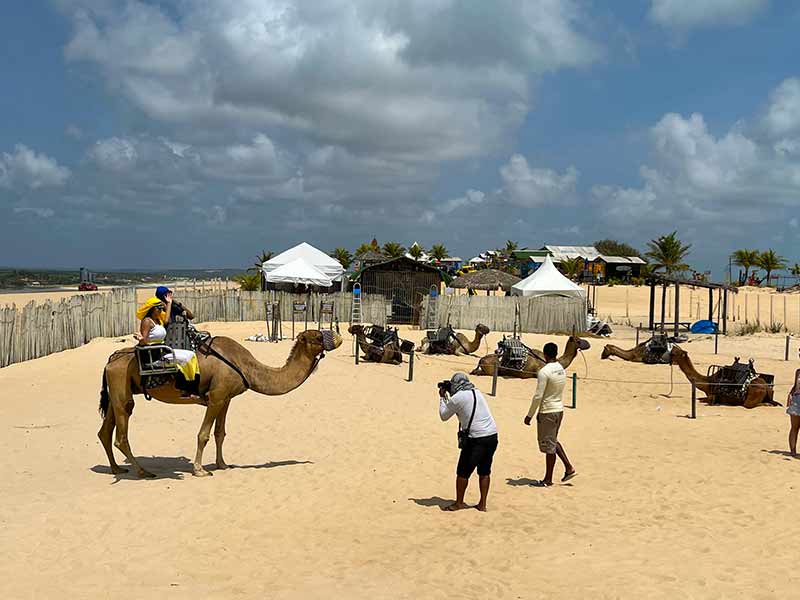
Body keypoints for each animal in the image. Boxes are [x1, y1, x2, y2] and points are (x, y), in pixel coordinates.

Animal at [97, 328, 340, 478]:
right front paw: (200, 470)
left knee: (105, 431)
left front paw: (223, 464)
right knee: (121, 435)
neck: (246, 366)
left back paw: (117, 469)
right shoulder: (216, 396)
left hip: (117, 391)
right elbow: (203, 434)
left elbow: (220, 433)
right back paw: (143, 472)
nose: (337, 336)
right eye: (318, 337)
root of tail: (110, 361)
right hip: (121, 387)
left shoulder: (226, 398)